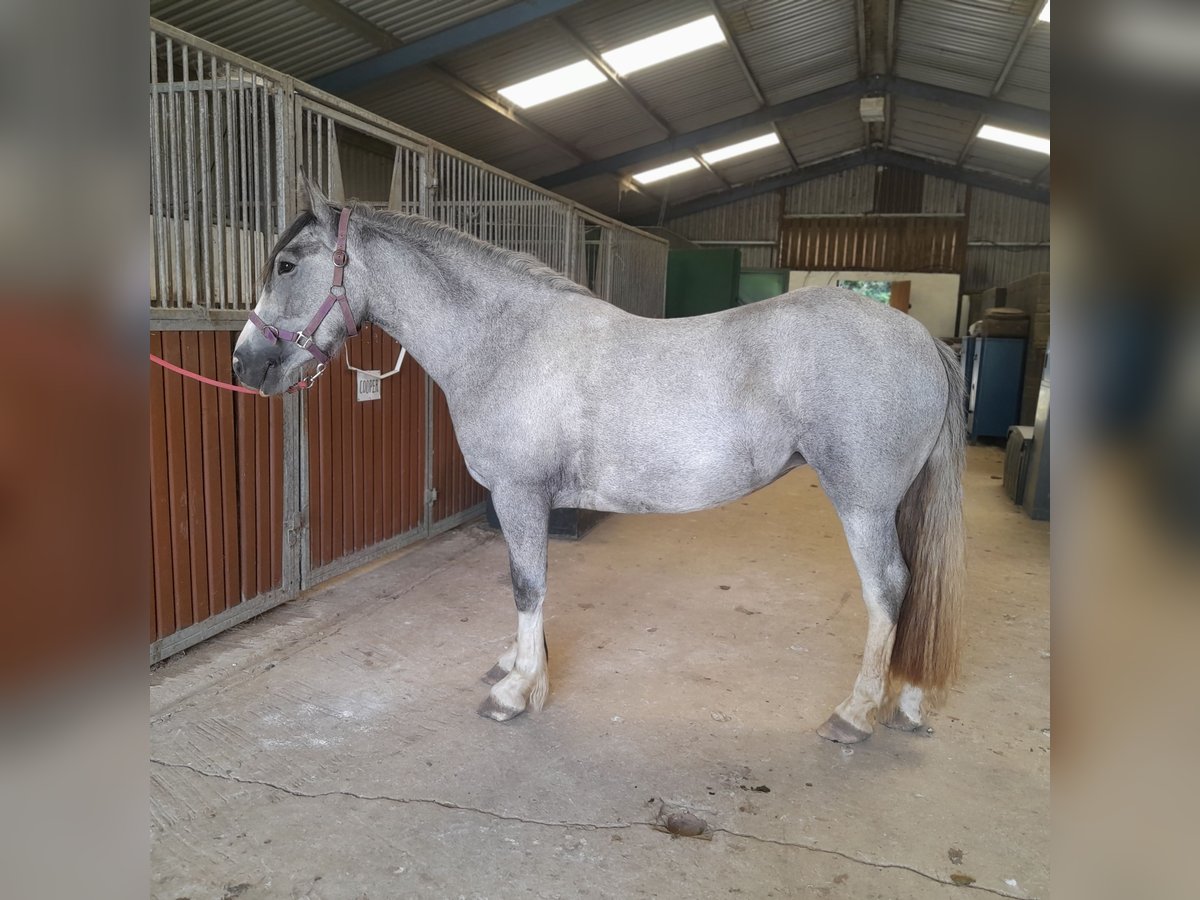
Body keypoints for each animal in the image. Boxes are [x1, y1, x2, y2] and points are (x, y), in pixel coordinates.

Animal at [234, 184, 964, 748]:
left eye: (287, 264)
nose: (244, 364)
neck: (506, 341)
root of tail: (921, 337)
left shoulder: (519, 494)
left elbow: (526, 584)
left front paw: (518, 690)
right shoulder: (524, 500)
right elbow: (533, 581)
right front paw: (521, 665)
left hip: (863, 503)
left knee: (888, 588)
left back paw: (856, 713)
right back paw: (906, 700)